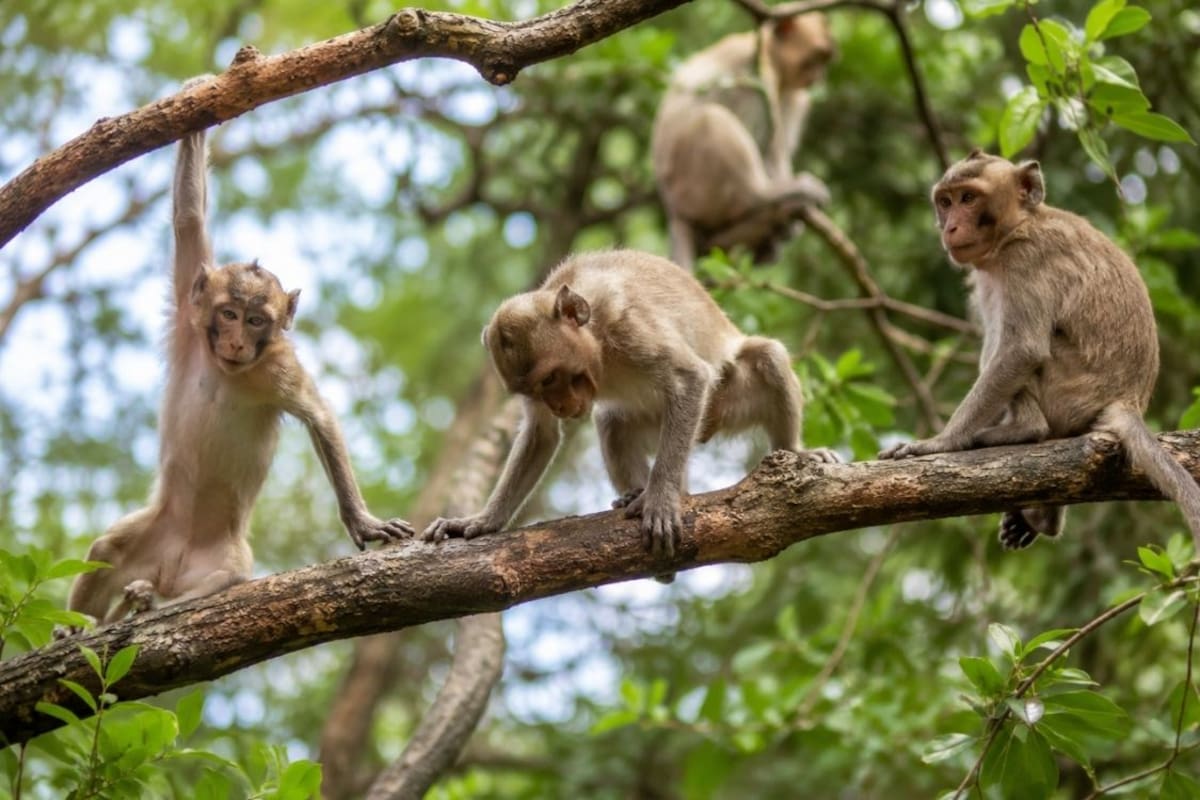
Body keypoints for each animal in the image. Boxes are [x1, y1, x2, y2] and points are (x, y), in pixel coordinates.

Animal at [67, 119, 412, 625]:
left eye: (255, 321)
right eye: (229, 314)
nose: (235, 342)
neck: (227, 369)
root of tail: (172, 567)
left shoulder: (276, 366)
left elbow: (319, 417)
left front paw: (362, 521)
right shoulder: (189, 318)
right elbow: (188, 219)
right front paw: (195, 114)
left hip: (219, 560)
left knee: (229, 580)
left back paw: (151, 603)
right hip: (152, 533)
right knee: (107, 549)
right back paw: (76, 629)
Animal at [423, 249, 838, 559]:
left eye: (550, 378)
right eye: (536, 392)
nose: (559, 407)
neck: (596, 342)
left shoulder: (630, 326)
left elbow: (689, 378)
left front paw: (662, 497)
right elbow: (542, 435)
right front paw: (481, 521)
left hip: (725, 402)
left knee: (769, 358)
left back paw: (793, 451)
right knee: (612, 423)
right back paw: (635, 491)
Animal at [651, 12, 835, 268]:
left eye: (825, 59)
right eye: (816, 57)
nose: (819, 76)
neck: (768, 50)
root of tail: (673, 208)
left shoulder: (794, 97)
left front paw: (789, 229)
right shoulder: (759, 73)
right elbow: (763, 140)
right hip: (692, 188)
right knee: (712, 119)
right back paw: (766, 197)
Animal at [880, 149, 1200, 550]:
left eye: (968, 198)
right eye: (945, 202)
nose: (949, 227)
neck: (1019, 225)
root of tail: (1129, 401)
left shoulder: (1026, 260)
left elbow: (1022, 350)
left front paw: (943, 443)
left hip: (1069, 390)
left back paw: (1024, 430)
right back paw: (1044, 515)